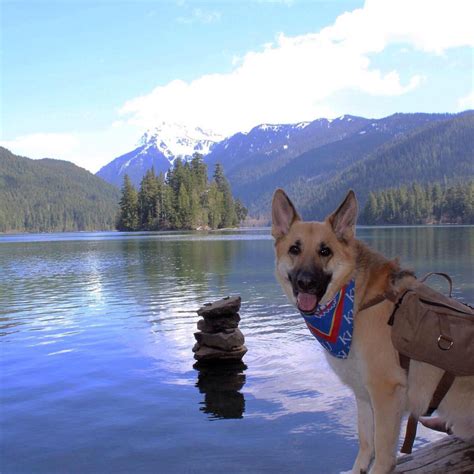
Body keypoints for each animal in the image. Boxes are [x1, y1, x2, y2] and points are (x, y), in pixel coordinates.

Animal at [270, 190, 474, 474]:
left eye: (325, 251)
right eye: (294, 249)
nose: (306, 283)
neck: (355, 302)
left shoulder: (385, 394)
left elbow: (383, 452)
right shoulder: (364, 396)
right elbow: (366, 441)